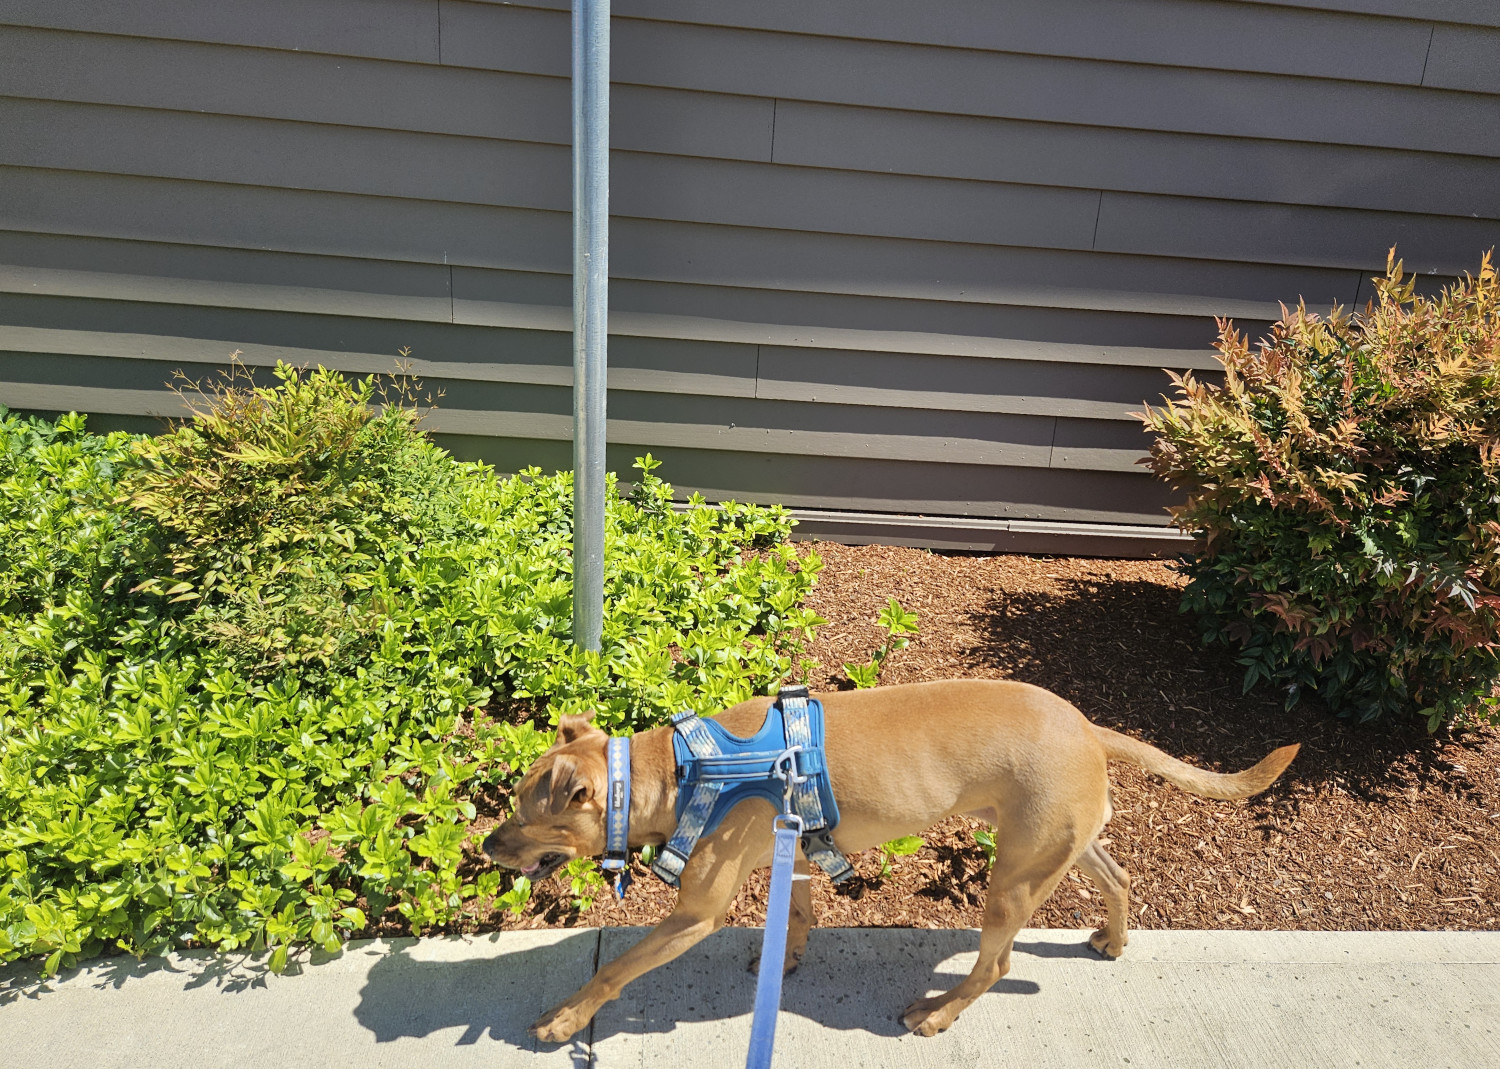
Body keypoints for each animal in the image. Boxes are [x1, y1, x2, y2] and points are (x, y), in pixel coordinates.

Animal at [483, 680, 1302, 1037]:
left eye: (527, 812)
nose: (484, 844)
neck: (682, 769)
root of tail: (1090, 725)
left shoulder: (695, 913)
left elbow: (617, 968)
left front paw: (565, 1017)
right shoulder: (794, 848)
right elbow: (798, 915)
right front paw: (783, 959)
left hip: (1013, 879)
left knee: (996, 963)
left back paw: (938, 1013)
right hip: (1055, 843)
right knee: (1118, 873)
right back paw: (1114, 937)